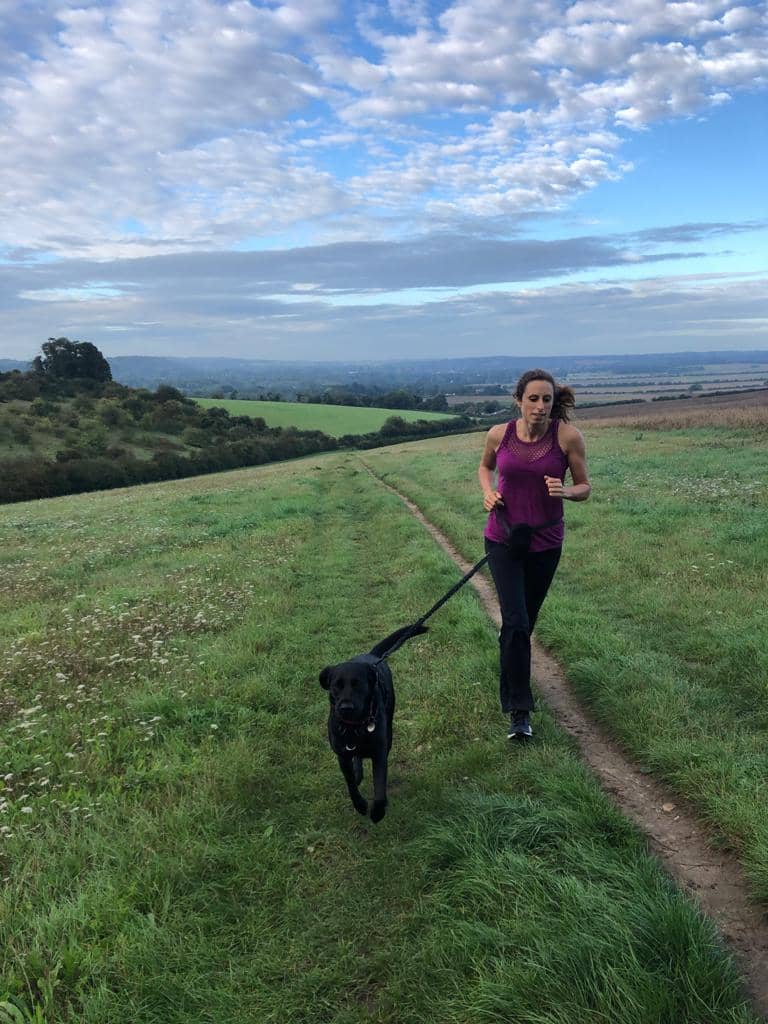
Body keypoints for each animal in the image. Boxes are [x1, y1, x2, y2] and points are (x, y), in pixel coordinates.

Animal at [317, 614, 428, 823]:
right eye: (336, 685)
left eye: (358, 684)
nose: (345, 707)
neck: (354, 725)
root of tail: (371, 657)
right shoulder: (342, 756)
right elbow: (351, 783)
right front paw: (360, 804)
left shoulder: (379, 753)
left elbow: (379, 786)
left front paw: (378, 811)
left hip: (390, 727)